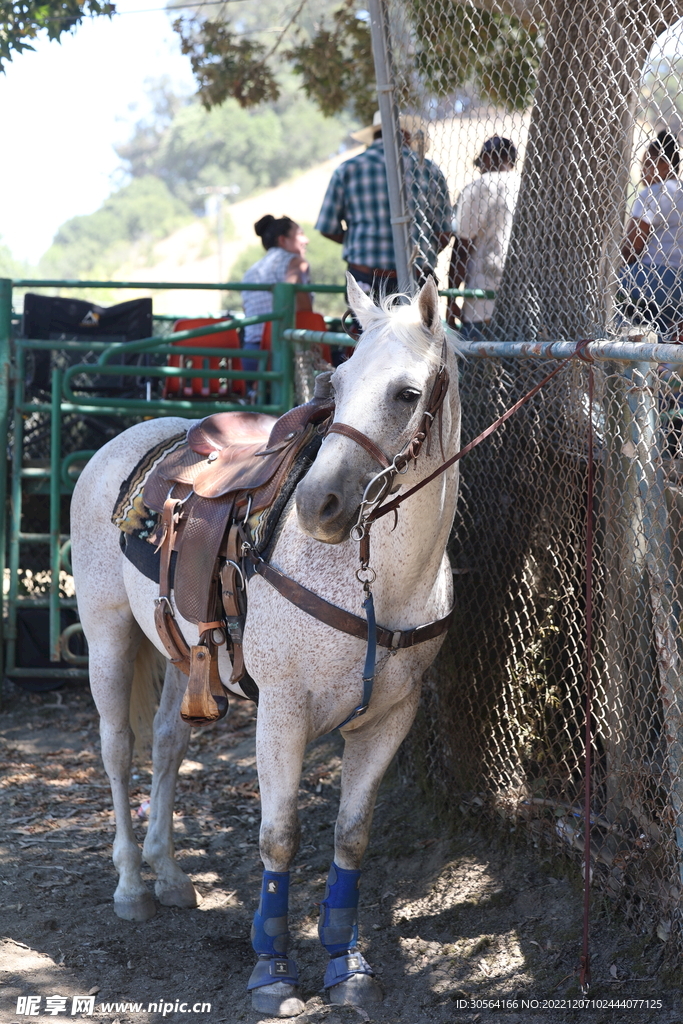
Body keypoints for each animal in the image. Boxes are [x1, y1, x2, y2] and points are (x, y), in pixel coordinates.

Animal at [70, 275, 461, 1017]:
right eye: (337, 380)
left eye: (406, 393)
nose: (318, 505)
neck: (376, 582)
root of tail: (131, 436)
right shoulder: (282, 712)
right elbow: (279, 838)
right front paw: (271, 971)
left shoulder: (391, 718)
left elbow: (351, 836)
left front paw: (346, 963)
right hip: (107, 633)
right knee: (117, 749)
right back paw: (132, 884)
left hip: (180, 657)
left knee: (167, 744)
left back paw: (169, 874)